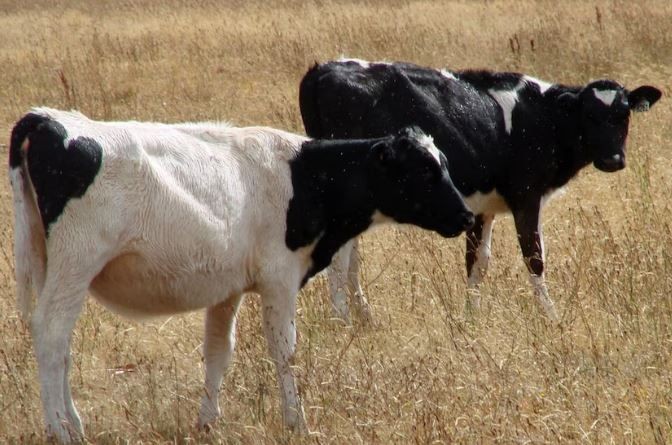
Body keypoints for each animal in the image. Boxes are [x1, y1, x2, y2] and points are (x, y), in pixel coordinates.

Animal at [10, 106, 472, 440]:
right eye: (424, 170)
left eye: (445, 164)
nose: (467, 216)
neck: (305, 177)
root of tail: (48, 118)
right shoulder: (280, 278)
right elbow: (285, 351)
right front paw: (297, 421)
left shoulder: (225, 287)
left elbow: (218, 353)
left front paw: (207, 421)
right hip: (75, 263)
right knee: (51, 333)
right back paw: (60, 429)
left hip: (58, 268)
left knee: (62, 346)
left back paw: (71, 423)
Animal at [300, 58, 660, 322]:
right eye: (589, 114)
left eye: (624, 114)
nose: (613, 160)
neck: (542, 117)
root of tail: (324, 69)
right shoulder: (526, 196)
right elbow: (534, 256)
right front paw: (552, 317)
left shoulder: (482, 207)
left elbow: (477, 261)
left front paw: (470, 316)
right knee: (341, 258)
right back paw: (343, 319)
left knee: (351, 256)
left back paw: (364, 317)